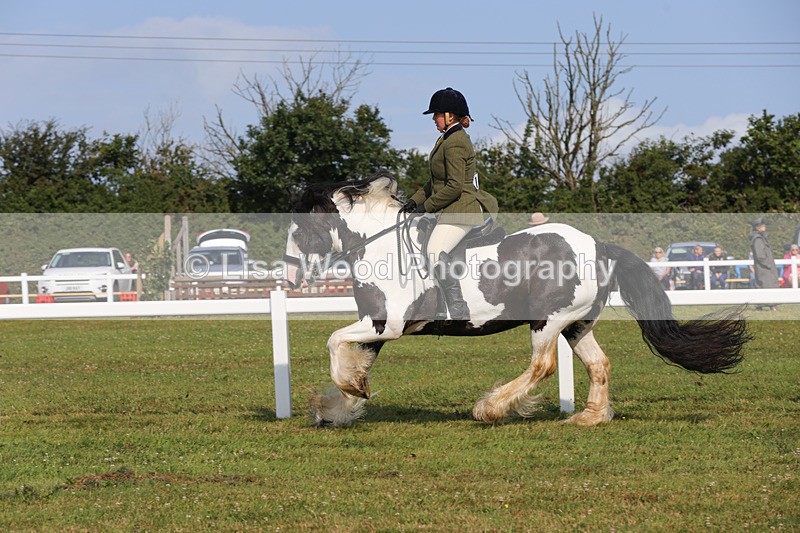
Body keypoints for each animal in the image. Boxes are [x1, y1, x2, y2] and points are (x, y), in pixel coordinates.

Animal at [281, 172, 750, 427]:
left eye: (299, 229)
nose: (289, 276)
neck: (378, 244)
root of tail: (598, 245)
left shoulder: (389, 324)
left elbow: (333, 343)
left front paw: (346, 392)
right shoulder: (378, 327)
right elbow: (354, 356)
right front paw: (339, 405)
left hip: (550, 319)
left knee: (542, 366)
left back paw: (490, 408)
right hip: (577, 323)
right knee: (599, 363)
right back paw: (588, 416)